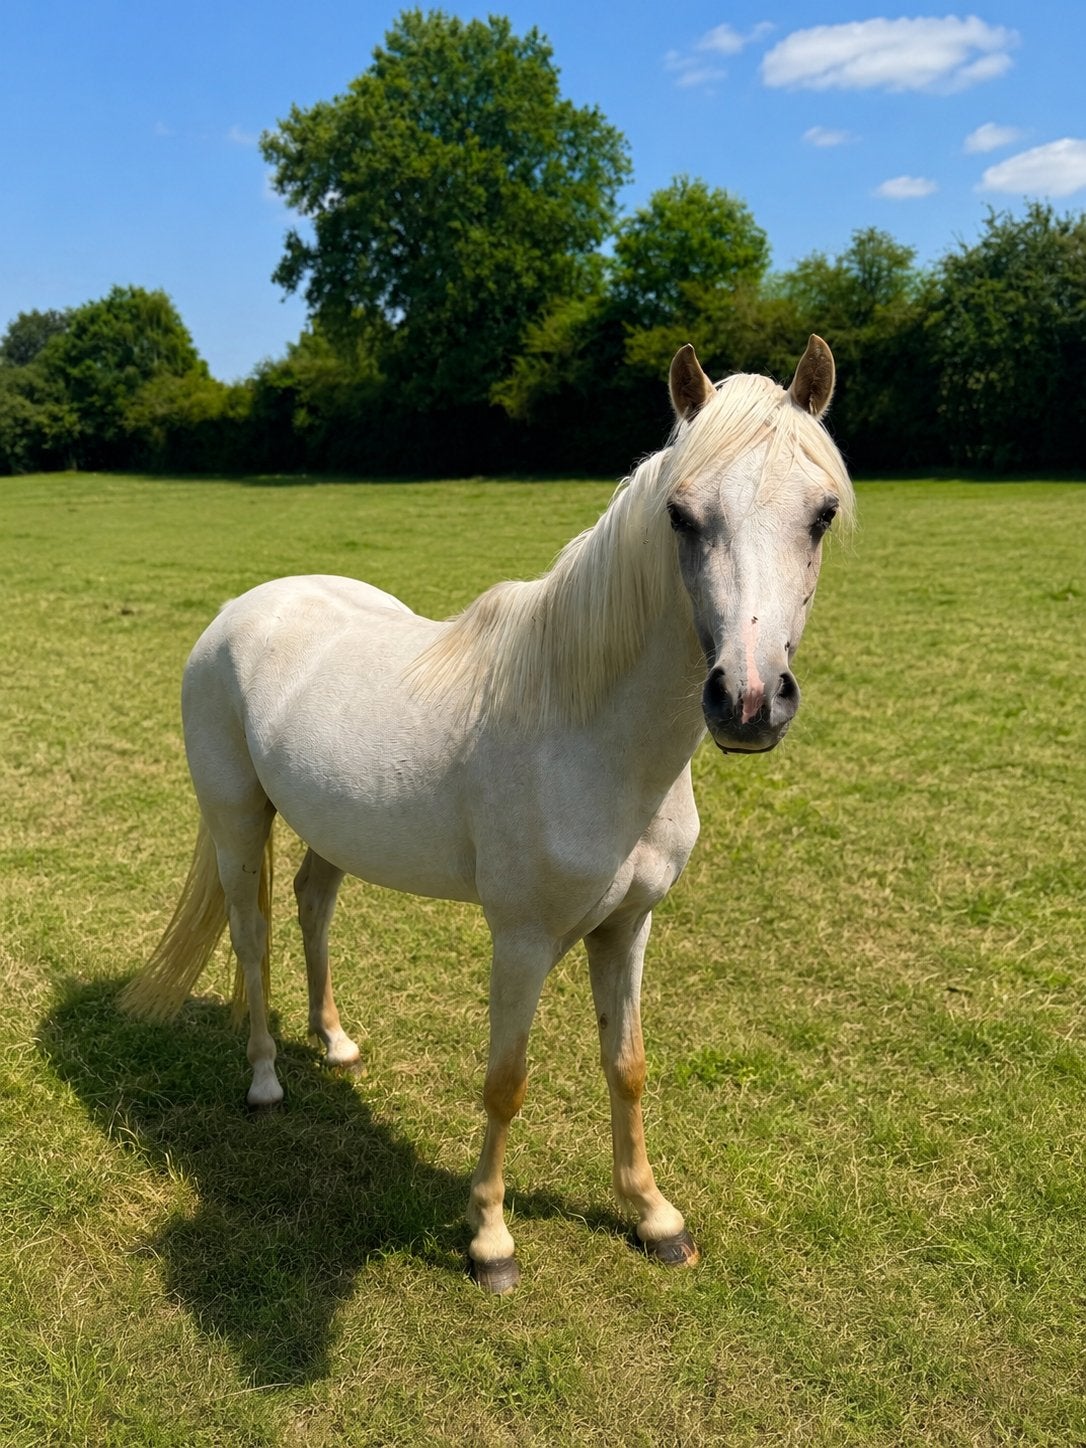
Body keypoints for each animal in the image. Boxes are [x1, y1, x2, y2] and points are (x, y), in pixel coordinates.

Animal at [120, 337, 853, 1293]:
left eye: (822, 514)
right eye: (682, 515)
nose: (750, 703)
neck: (589, 734)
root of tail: (240, 610)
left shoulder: (628, 928)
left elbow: (628, 1065)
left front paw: (654, 1218)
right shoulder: (524, 939)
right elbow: (507, 1081)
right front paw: (491, 1242)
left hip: (332, 828)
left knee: (314, 905)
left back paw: (336, 1041)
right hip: (239, 819)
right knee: (253, 935)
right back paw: (267, 1082)